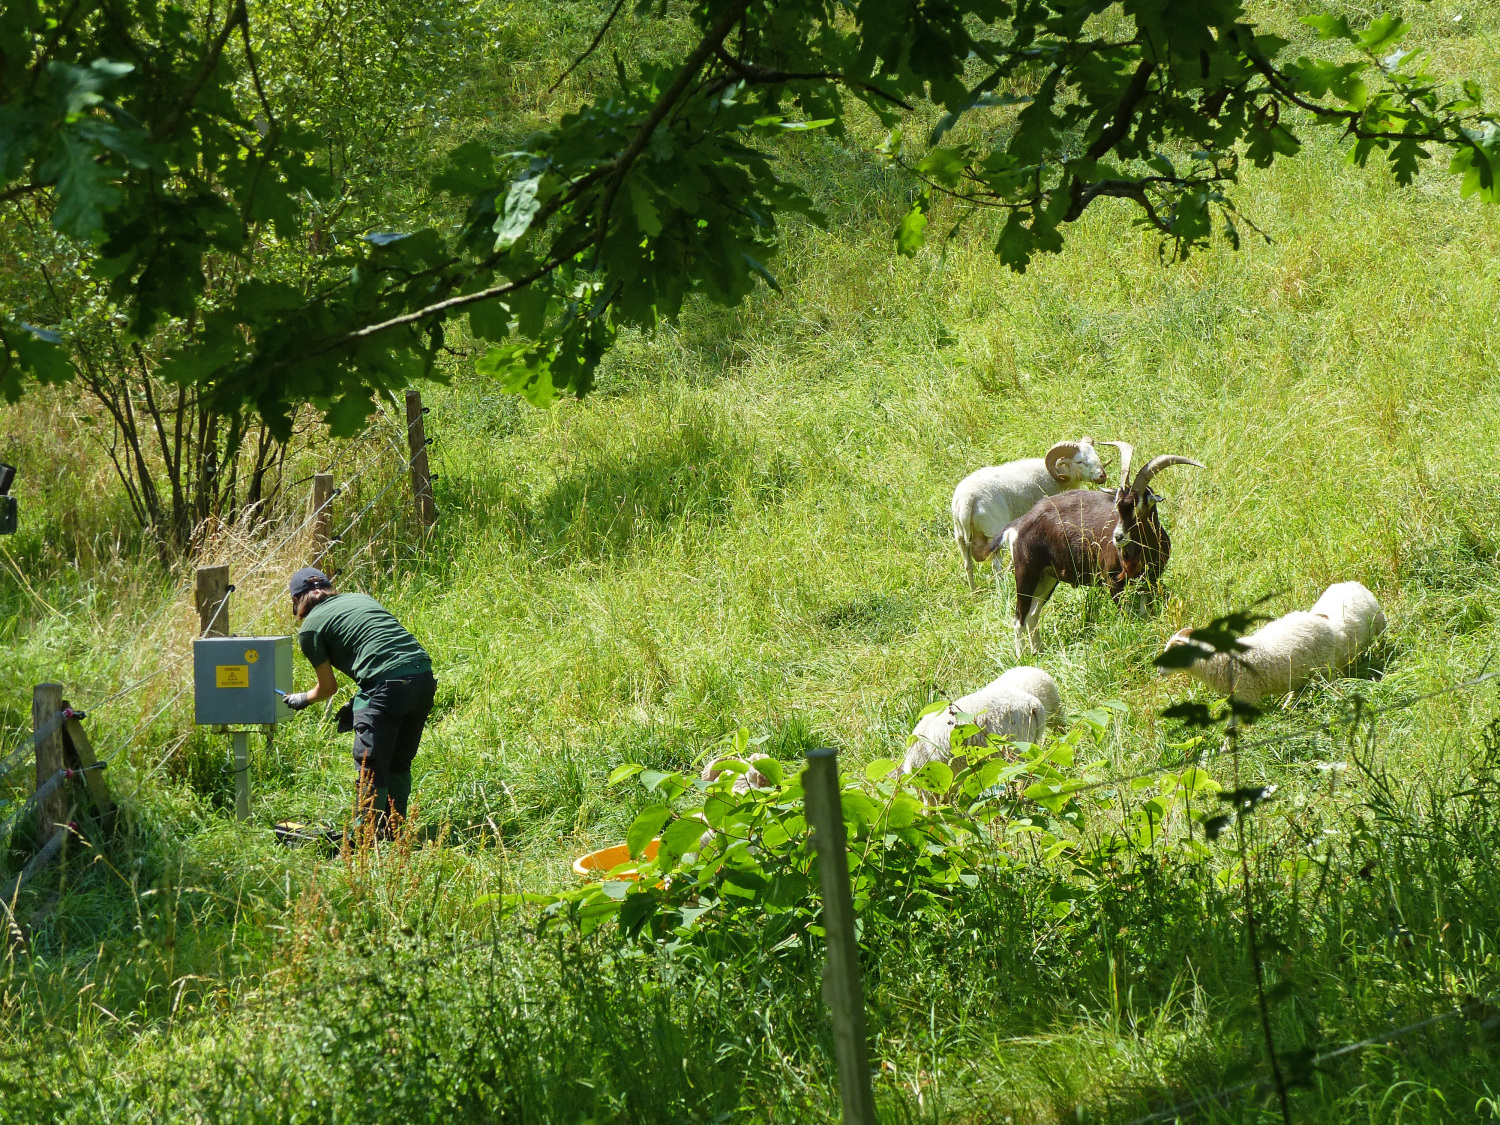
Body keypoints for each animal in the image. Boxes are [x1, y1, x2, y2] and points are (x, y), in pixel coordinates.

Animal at [990, 444, 1212, 657]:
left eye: (1139, 504)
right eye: (1117, 504)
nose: (1118, 537)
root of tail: (1018, 525)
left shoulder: (1150, 578)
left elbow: (1144, 613)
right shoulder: (1112, 581)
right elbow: (1127, 615)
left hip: (1048, 577)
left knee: (1032, 614)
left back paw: (1038, 651)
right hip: (1026, 573)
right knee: (1019, 616)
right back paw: (1022, 656)